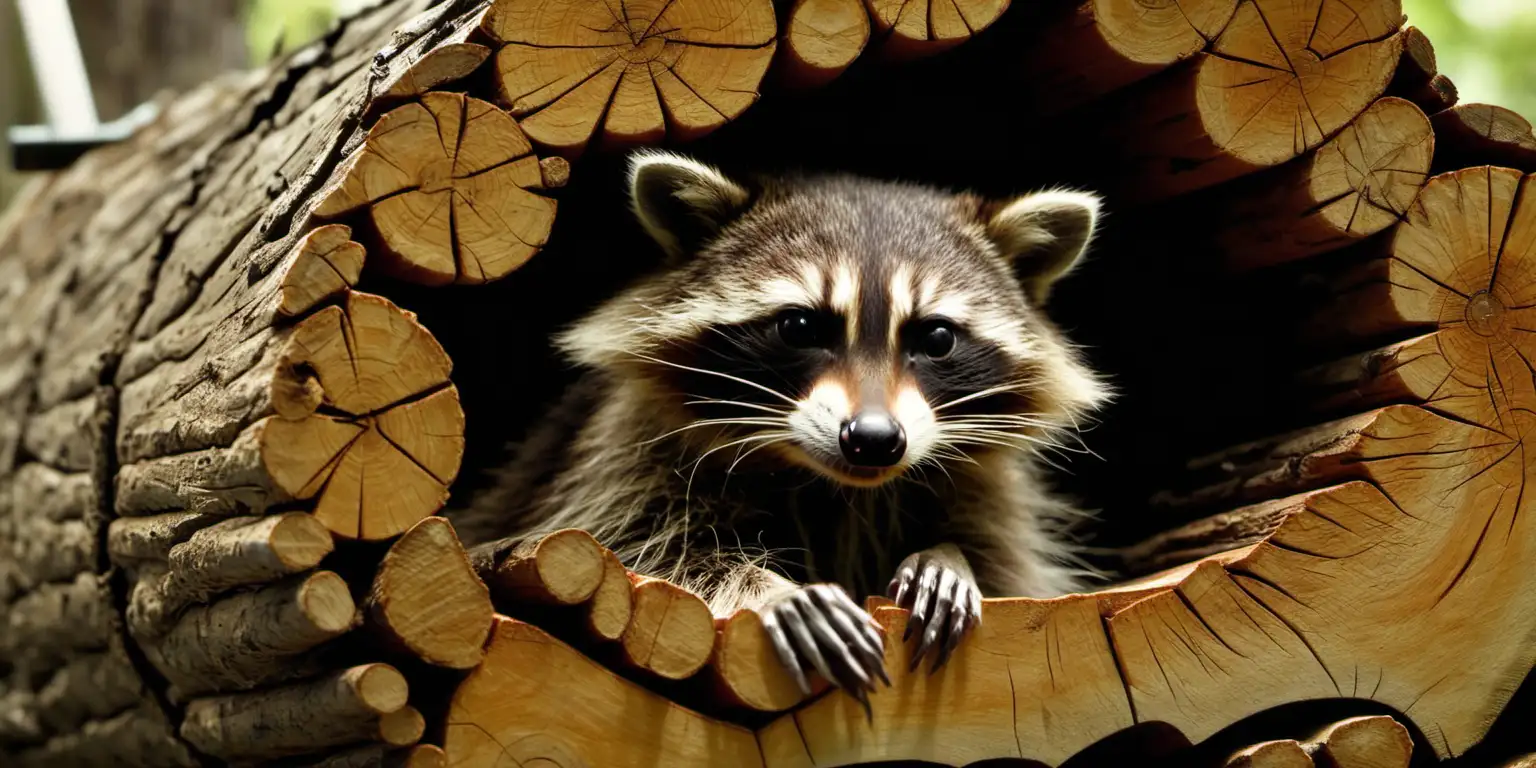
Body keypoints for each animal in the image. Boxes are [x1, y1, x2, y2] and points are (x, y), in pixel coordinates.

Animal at [448, 149, 1112, 706]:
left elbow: (1004, 563)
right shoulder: (624, 453)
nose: (874, 440)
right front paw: (772, 588)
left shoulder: (985, 483)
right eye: (799, 327)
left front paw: (949, 560)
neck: (832, 483)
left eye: (938, 338)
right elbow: (640, 545)